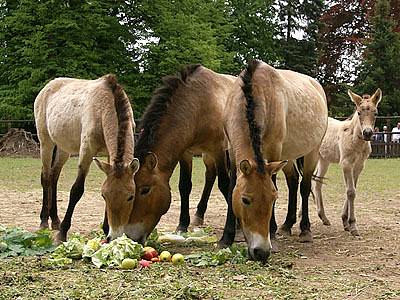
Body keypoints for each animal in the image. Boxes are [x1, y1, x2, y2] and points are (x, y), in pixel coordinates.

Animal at [34, 74, 141, 241]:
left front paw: (105, 229)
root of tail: (47, 87)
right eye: (104, 196)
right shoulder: (86, 152)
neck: (104, 106)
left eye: (131, 196)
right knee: (46, 177)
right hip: (46, 142)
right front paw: (62, 234)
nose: (115, 236)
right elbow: (76, 190)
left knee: (53, 177)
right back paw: (44, 221)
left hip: (63, 149)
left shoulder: (109, 157)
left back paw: (55, 221)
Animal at [222, 59, 328, 262]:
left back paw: (305, 230)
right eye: (245, 200)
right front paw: (226, 238)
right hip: (288, 156)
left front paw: (272, 233)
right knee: (293, 181)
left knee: (304, 187)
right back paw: (287, 225)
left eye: (273, 199)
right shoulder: (231, 151)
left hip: (311, 152)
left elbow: (274, 183)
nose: (261, 252)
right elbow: (231, 188)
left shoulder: (273, 151)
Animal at [312, 88, 382, 236]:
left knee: (317, 181)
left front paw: (345, 221)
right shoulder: (346, 163)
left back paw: (323, 217)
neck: (355, 140)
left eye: (376, 113)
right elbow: (350, 191)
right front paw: (353, 225)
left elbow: (352, 189)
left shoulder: (359, 165)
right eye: (359, 112)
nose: (367, 133)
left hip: (324, 160)